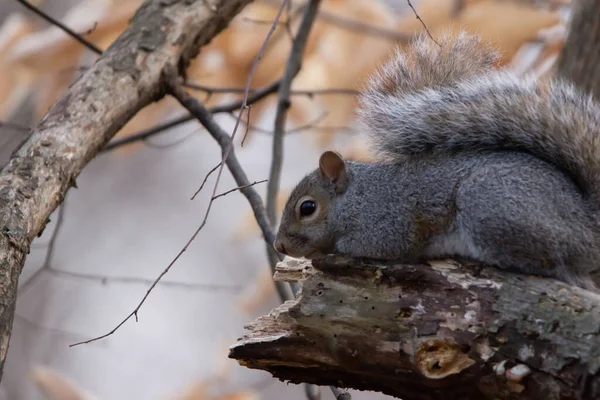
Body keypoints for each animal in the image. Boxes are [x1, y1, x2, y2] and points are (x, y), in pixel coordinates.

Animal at [274, 29, 600, 290]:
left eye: (307, 208)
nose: (280, 245)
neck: (358, 197)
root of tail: (588, 226)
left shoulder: (388, 221)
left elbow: (376, 245)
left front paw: (324, 252)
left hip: (489, 205)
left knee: (552, 263)